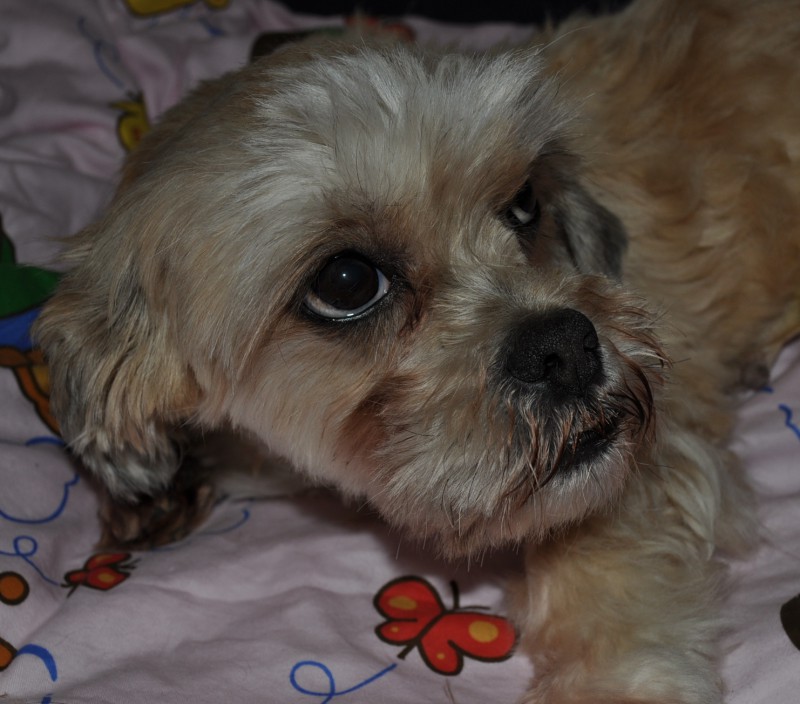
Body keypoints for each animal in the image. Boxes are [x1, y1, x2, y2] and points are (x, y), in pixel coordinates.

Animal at [34, 0, 800, 701]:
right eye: (346, 281)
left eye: (525, 203)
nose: (565, 345)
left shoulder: (656, 459)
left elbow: (600, 552)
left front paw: (614, 681)